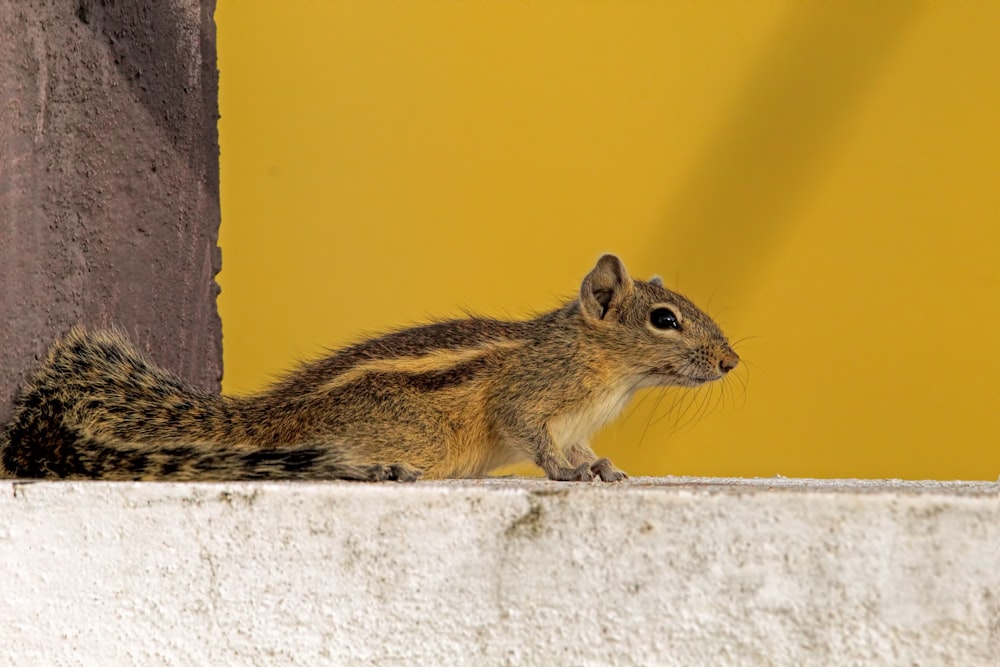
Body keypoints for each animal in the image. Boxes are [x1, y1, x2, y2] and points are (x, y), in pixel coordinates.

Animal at [0, 254, 736, 480]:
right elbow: (532, 434)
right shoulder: (531, 397)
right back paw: (373, 468)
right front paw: (567, 472)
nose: (731, 360)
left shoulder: (577, 420)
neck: (605, 364)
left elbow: (581, 445)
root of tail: (268, 416)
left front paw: (603, 467)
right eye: (664, 319)